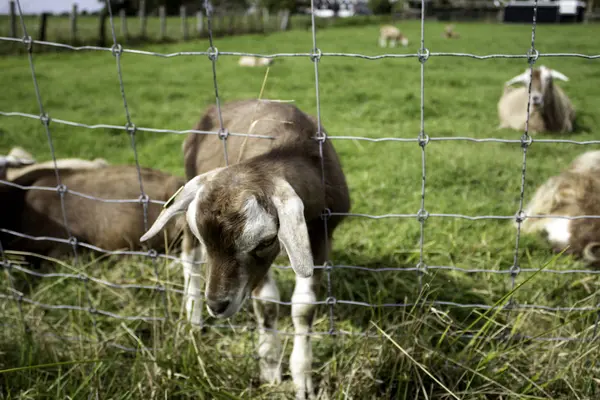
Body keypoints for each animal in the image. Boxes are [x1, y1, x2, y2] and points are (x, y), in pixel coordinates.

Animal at [139, 99, 352, 400]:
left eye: (265, 241)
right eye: (204, 236)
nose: (217, 305)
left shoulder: (321, 233)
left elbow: (303, 307)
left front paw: (303, 379)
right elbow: (267, 302)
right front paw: (271, 366)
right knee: (190, 259)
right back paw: (194, 319)